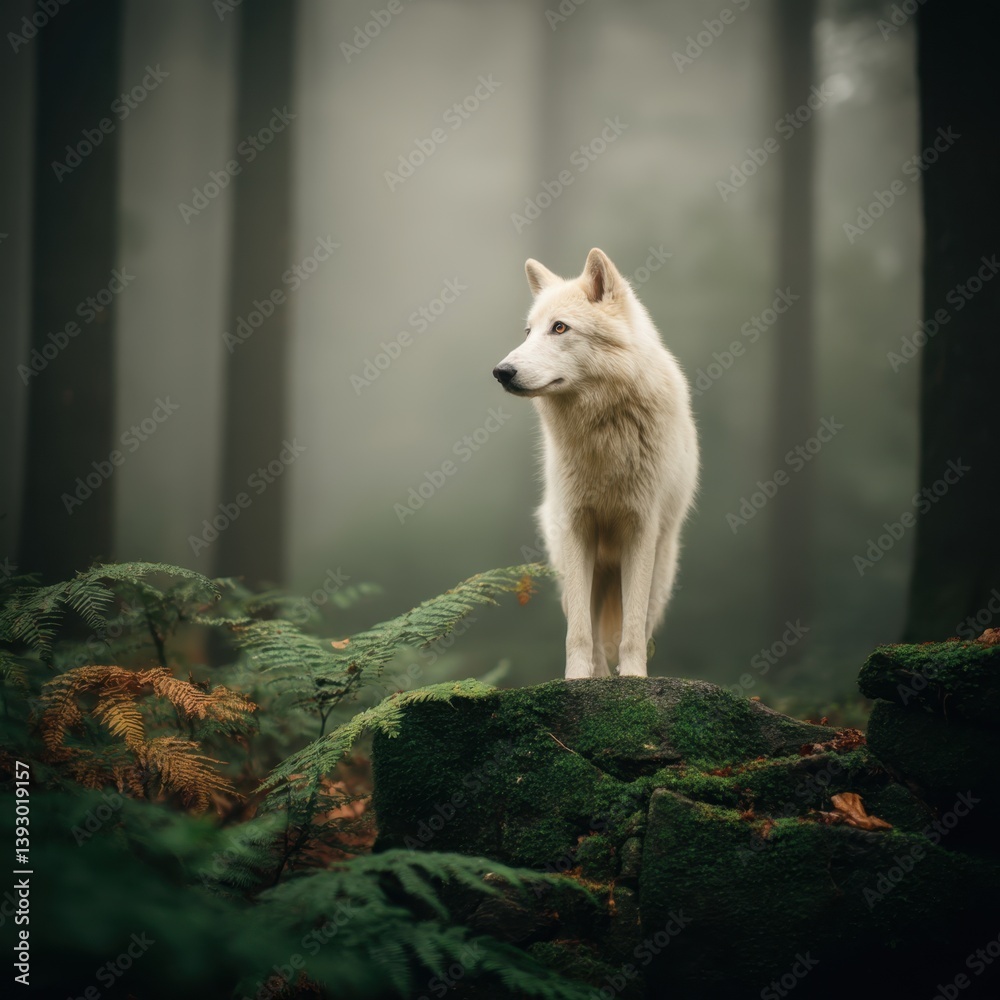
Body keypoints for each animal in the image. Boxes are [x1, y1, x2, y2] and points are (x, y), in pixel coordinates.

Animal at [492, 248, 698, 679]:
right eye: (528, 332)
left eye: (559, 328)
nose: (501, 371)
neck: (604, 430)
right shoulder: (576, 528)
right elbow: (579, 632)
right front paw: (576, 680)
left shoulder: (640, 529)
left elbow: (632, 629)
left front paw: (634, 679)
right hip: (574, 564)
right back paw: (599, 675)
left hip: (660, 572)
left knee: (640, 622)